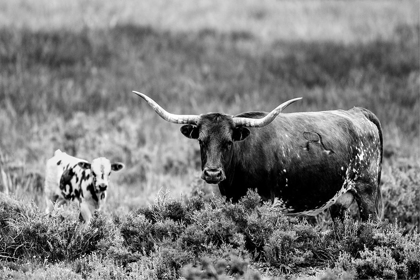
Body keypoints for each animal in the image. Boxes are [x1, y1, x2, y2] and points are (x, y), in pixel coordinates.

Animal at [133, 91, 382, 220]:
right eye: (201, 141)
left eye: (229, 142)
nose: (212, 173)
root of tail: (358, 112)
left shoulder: (264, 202)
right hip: (339, 201)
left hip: (367, 192)